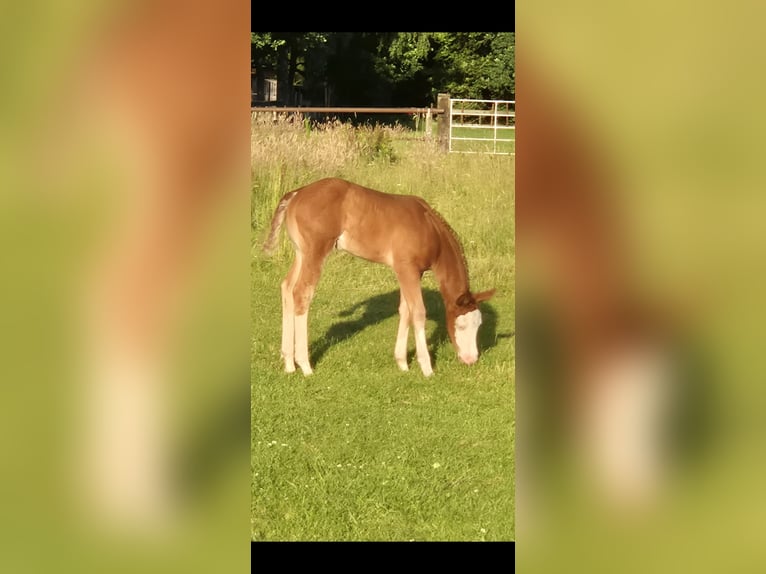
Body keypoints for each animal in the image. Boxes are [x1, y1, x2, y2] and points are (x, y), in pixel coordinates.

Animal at [263, 178, 496, 377]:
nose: (471, 359)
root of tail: (297, 193)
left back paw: (288, 362)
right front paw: (427, 367)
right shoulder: (407, 269)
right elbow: (418, 312)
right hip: (315, 252)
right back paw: (305, 365)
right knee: (302, 293)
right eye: (461, 325)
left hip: (300, 253)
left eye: (479, 325)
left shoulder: (411, 272)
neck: (429, 227)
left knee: (287, 287)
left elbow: (405, 310)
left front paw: (402, 363)